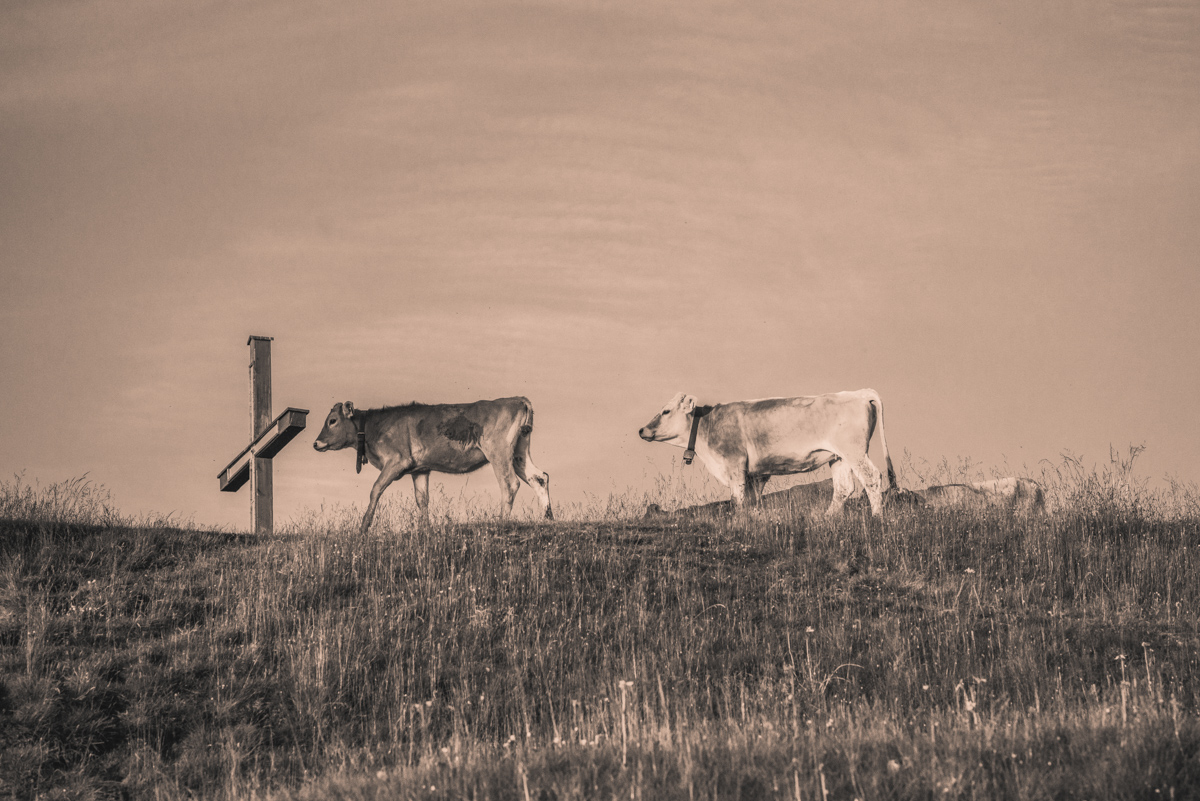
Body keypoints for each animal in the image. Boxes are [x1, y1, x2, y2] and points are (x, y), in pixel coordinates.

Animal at [313, 397, 552, 533]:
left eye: (332, 420)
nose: (316, 443)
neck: (374, 427)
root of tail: (517, 399)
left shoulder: (396, 461)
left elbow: (375, 489)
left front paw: (363, 527)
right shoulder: (420, 469)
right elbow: (422, 499)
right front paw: (425, 529)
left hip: (498, 451)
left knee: (509, 483)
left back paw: (501, 522)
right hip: (519, 453)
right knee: (539, 477)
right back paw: (548, 518)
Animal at [638, 389, 896, 516]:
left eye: (665, 411)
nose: (642, 430)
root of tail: (859, 392)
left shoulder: (734, 464)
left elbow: (738, 499)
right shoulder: (756, 473)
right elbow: (753, 499)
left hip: (854, 451)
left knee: (872, 478)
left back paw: (876, 517)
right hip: (839, 456)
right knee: (844, 488)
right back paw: (827, 518)